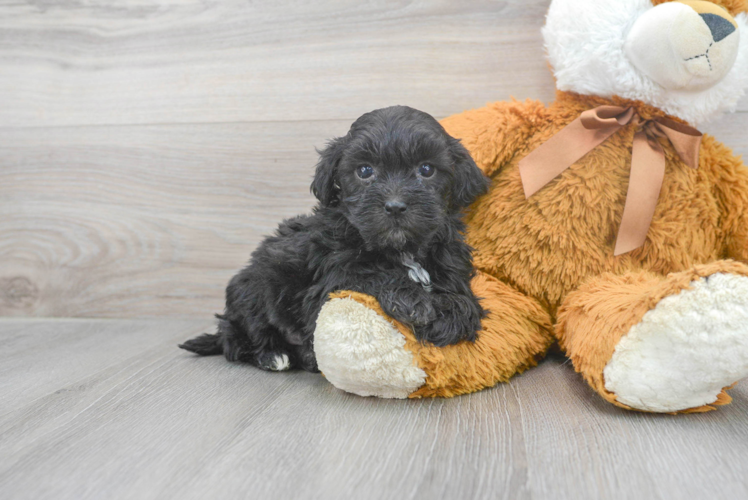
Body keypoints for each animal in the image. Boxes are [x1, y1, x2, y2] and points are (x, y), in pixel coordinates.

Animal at [179, 105, 488, 372]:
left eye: (426, 169)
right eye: (364, 171)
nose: (395, 205)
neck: (401, 249)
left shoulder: (451, 260)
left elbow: (463, 297)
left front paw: (454, 315)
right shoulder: (331, 279)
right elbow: (369, 273)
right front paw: (414, 302)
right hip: (253, 287)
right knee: (237, 336)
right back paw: (274, 355)